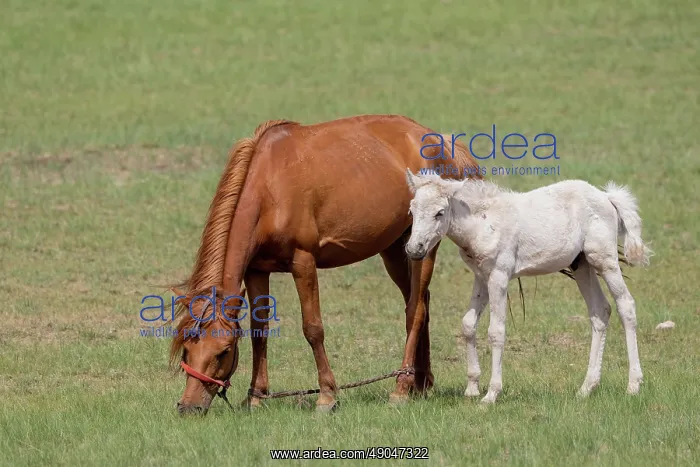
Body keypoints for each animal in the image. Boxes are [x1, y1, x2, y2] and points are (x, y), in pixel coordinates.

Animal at [167, 114, 481, 415]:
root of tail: (440, 140)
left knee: (415, 311)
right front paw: (256, 397)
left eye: (224, 351)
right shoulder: (257, 270)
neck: (269, 188)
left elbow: (313, 328)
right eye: (186, 350)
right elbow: (259, 331)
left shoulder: (303, 262)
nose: (189, 407)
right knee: (419, 301)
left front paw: (327, 396)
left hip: (424, 248)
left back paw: (401, 389)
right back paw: (421, 383)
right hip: (396, 249)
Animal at [404, 171, 652, 404]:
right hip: (582, 264)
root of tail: (606, 197)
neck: (483, 223)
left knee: (626, 305)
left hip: (604, 259)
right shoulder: (481, 277)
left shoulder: (499, 276)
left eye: (439, 212)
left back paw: (633, 385)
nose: (414, 249)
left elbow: (496, 331)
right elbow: (468, 324)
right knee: (600, 311)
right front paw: (472, 388)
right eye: (412, 211)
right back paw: (586, 388)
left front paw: (491, 394)